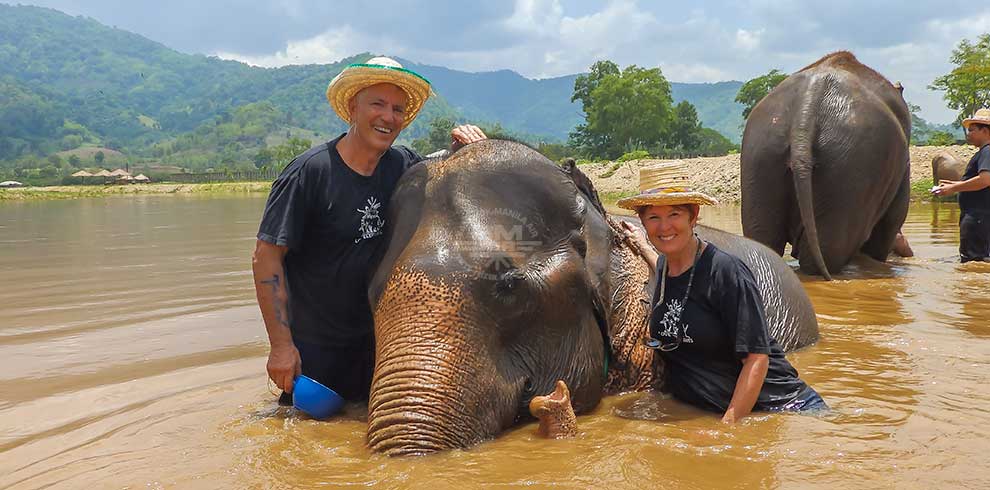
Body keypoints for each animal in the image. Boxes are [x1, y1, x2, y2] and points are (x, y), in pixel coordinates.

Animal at [740, 51, 912, 280]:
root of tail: (807, 106)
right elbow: (891, 220)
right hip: (851, 169)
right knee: (830, 251)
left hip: (761, 152)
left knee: (765, 239)